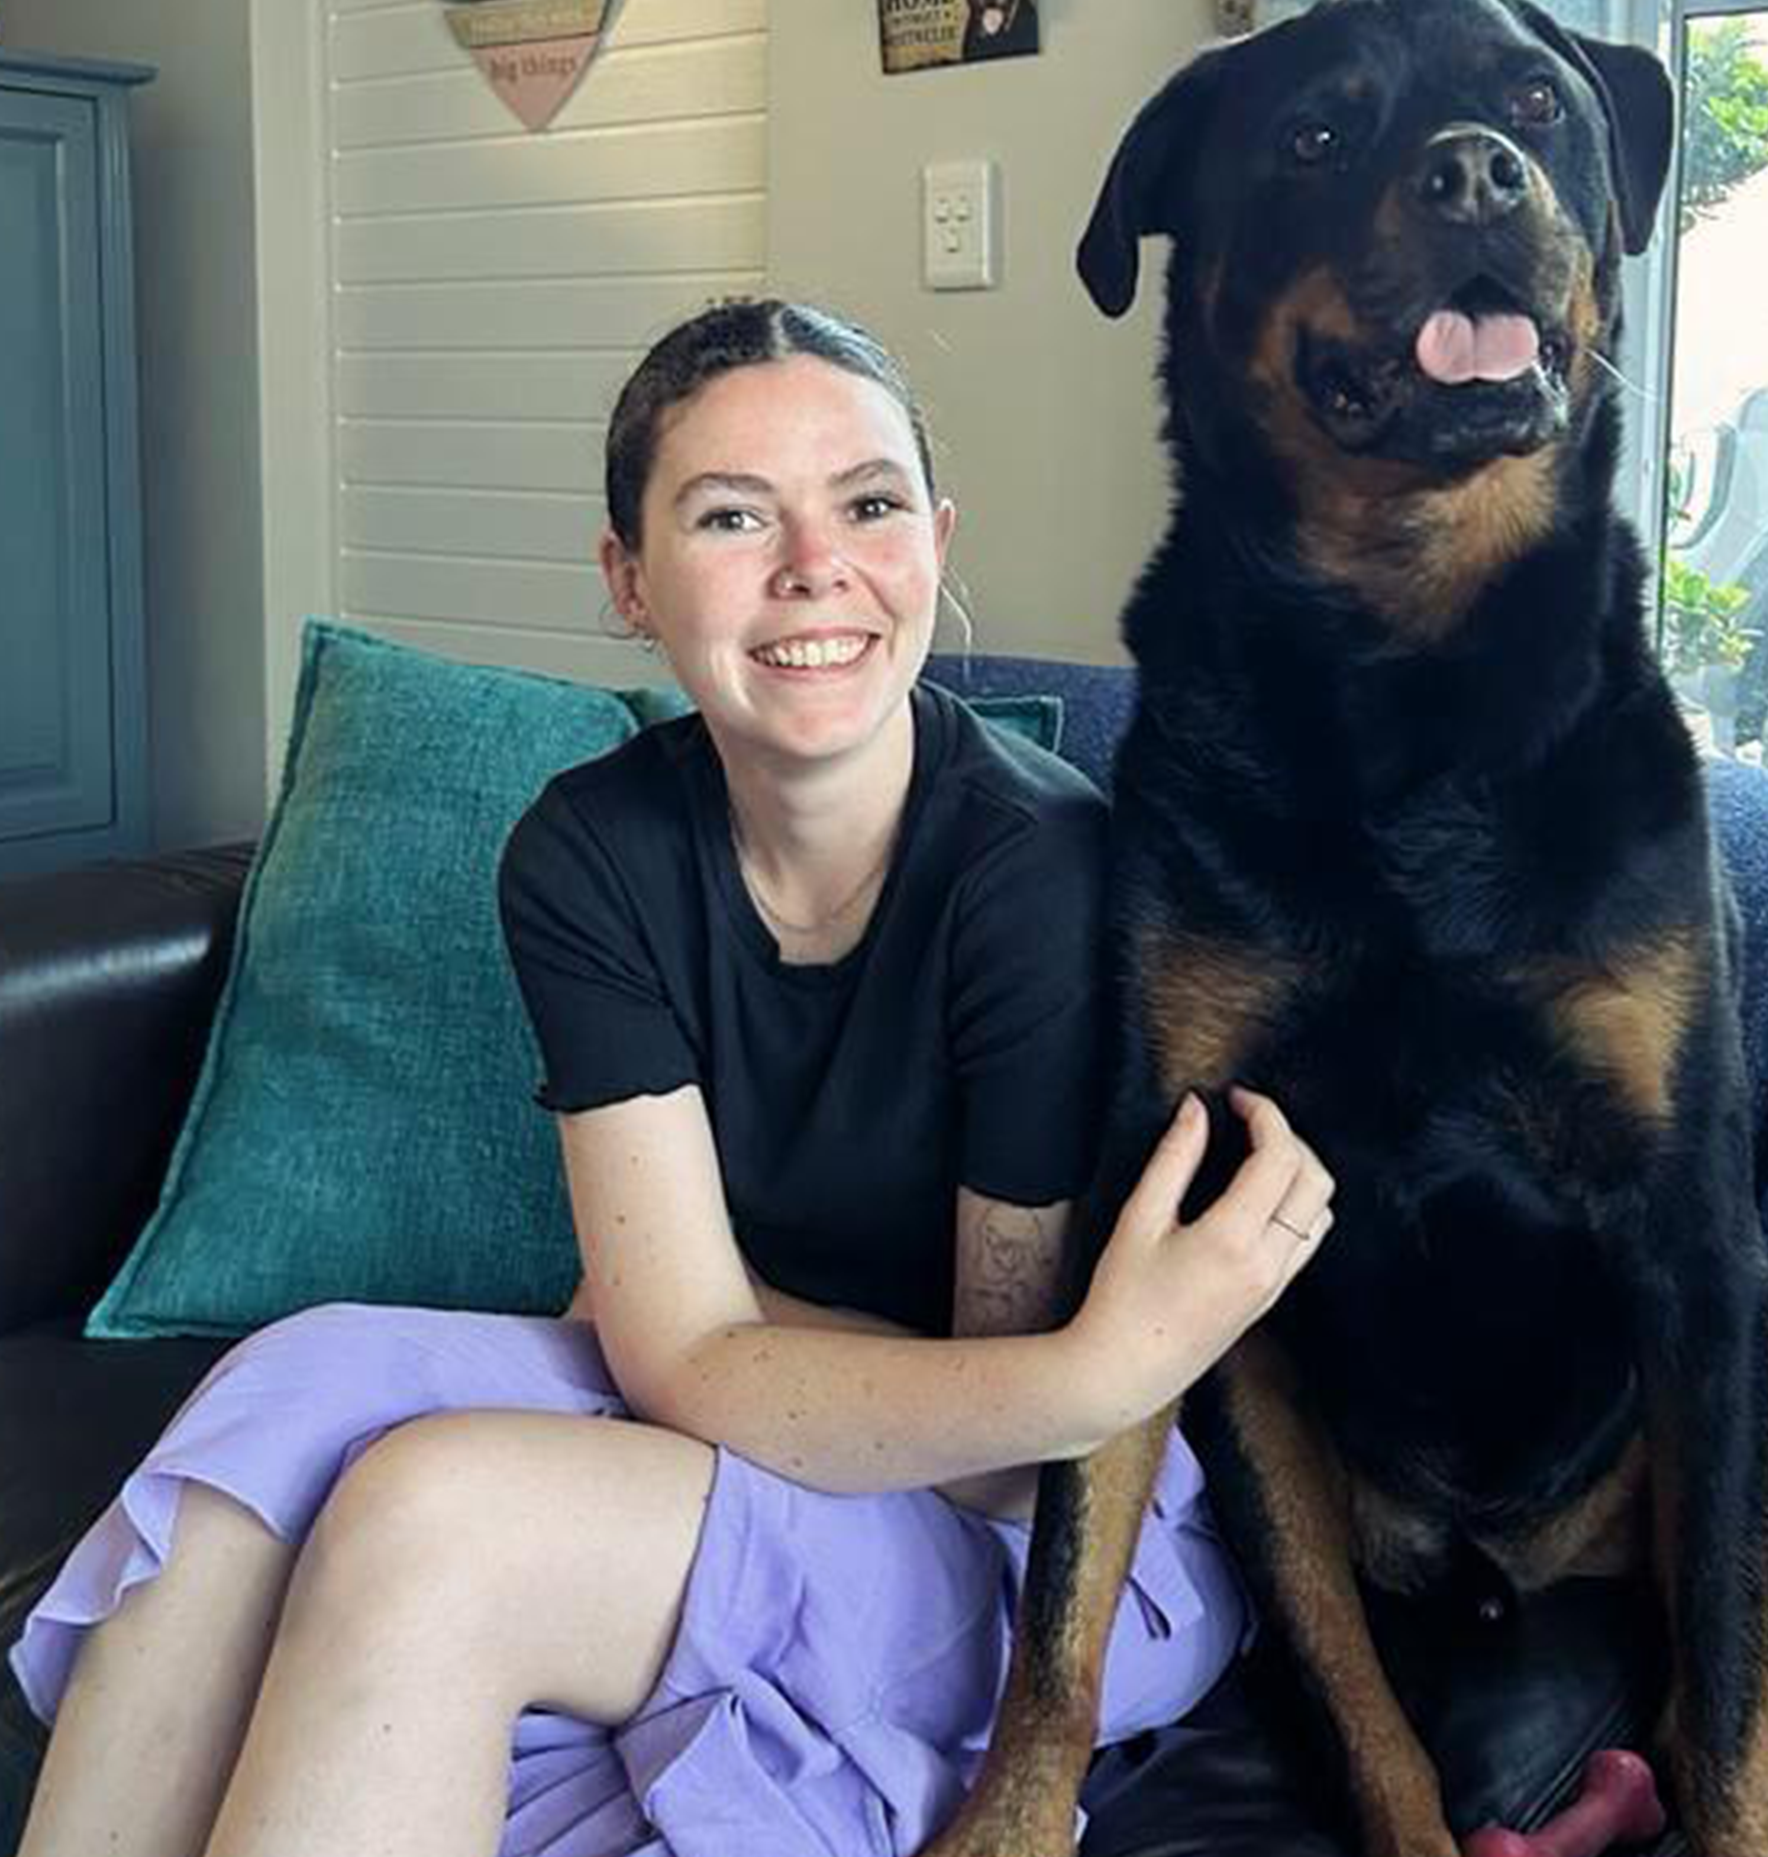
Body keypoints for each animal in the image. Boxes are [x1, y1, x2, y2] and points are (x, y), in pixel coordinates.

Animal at [924, 3, 1768, 1857]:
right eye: (1314, 138)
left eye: (1535, 99)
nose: (1475, 171)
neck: (1407, 666)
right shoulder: (1175, 1182)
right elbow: (1080, 1592)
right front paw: (1011, 1810)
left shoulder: (1691, 1225)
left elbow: (1733, 1685)